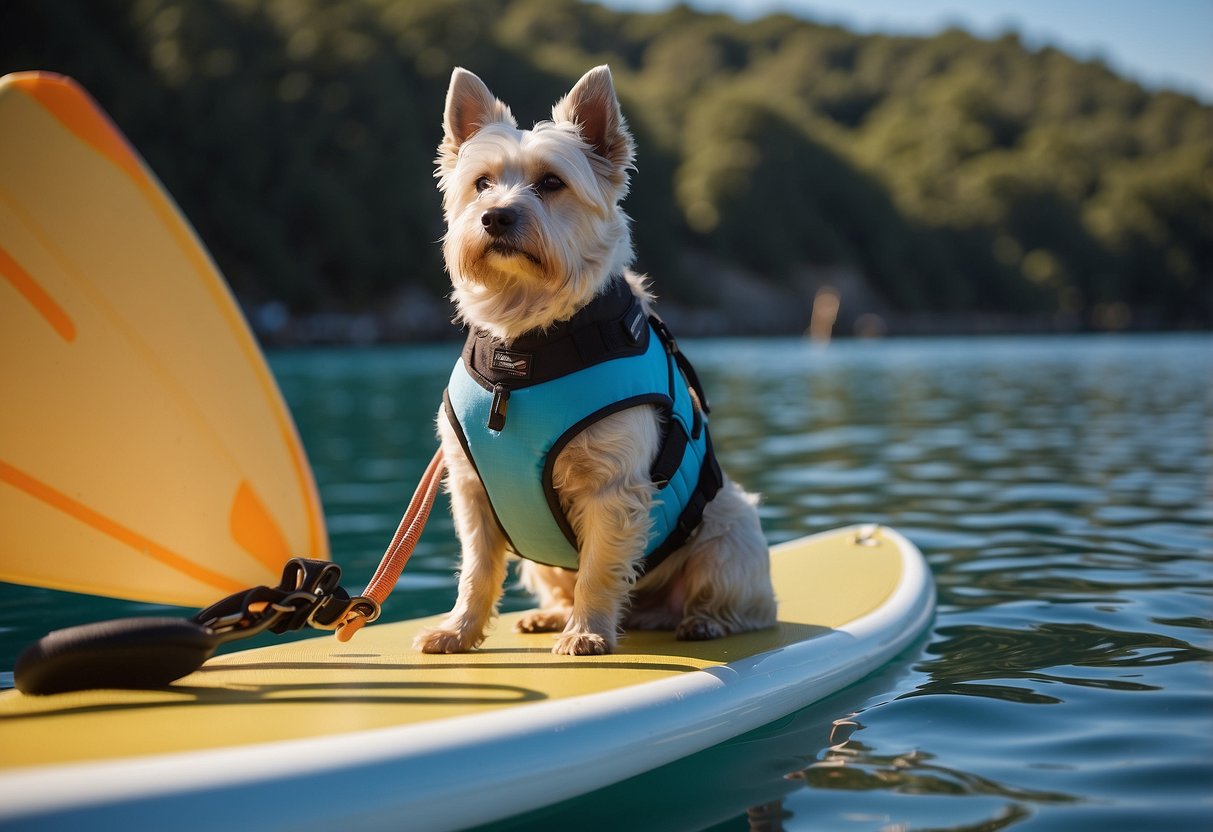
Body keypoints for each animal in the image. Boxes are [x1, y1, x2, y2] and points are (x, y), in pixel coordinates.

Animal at [417, 63, 776, 659]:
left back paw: (704, 622)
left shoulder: (611, 488)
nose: (495, 217)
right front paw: (458, 630)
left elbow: (599, 566)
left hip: (730, 530)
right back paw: (548, 616)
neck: (525, 344)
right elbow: (476, 568)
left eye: (551, 183)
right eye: (482, 182)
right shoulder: (472, 492)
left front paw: (586, 633)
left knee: (743, 603)